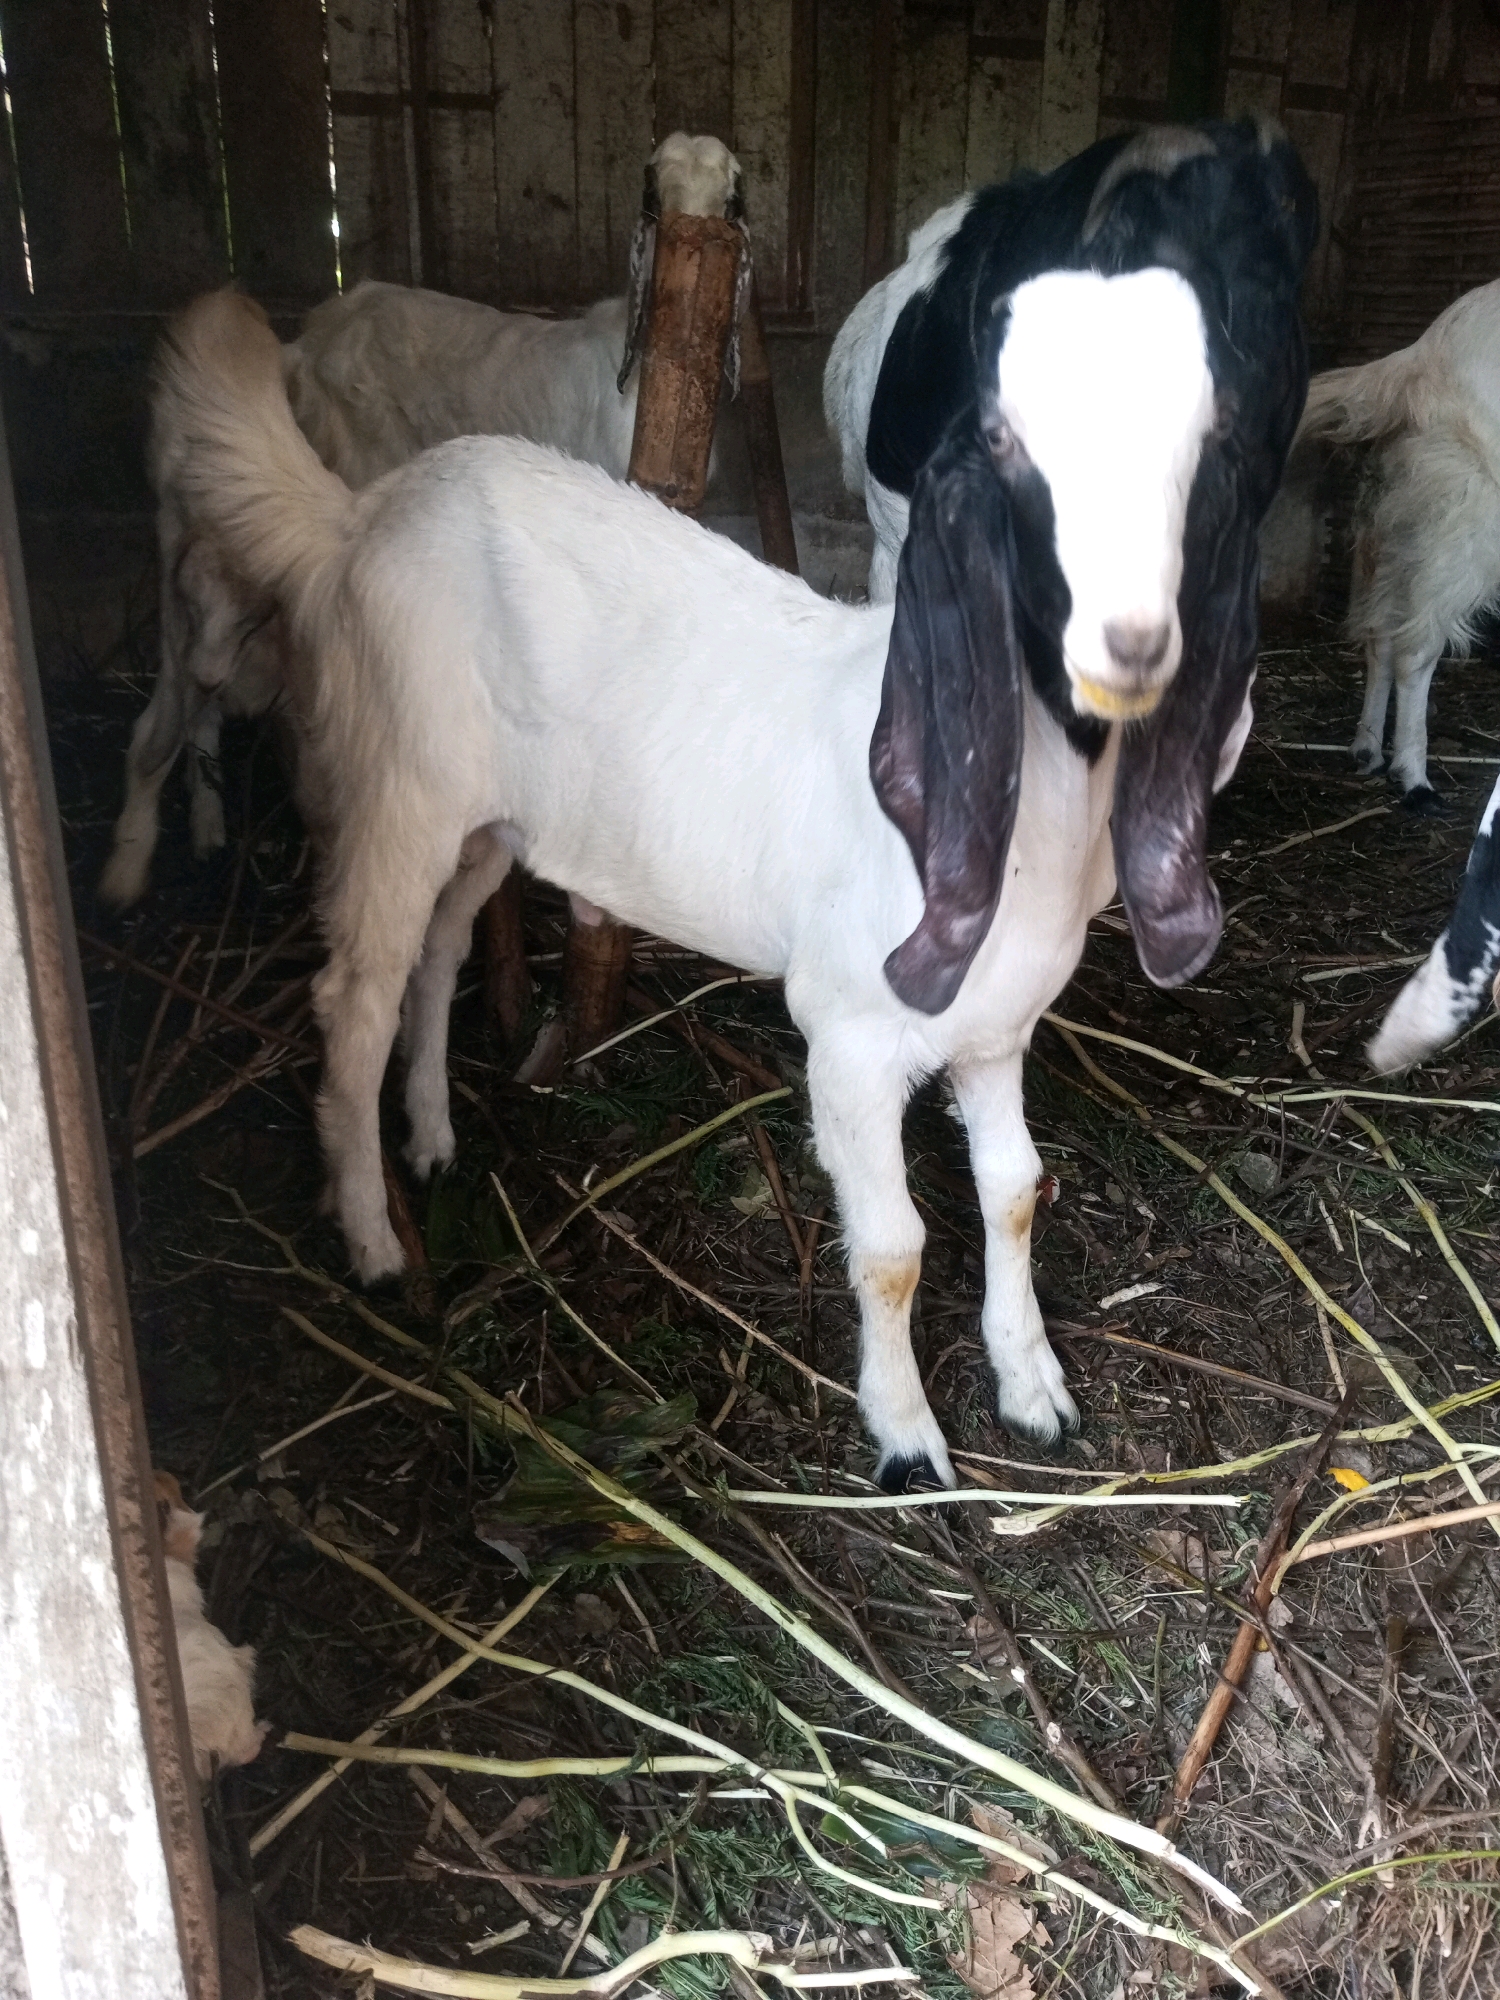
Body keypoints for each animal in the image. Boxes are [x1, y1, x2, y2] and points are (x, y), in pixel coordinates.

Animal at [98, 130, 743, 908]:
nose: (695, 241)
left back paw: (203, 825)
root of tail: (302, 348)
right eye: (655, 191)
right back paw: (135, 863)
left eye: (729, 192)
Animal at [159, 268, 1252, 1489]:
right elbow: (894, 1245)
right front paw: (904, 1435)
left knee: (435, 952)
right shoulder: (848, 1029)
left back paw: (434, 1137)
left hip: (488, 813)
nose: (1129, 646)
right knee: (352, 995)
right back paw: (371, 1234)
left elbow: (1015, 1192)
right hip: (399, 778)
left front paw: (1032, 1387)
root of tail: (361, 517)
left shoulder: (996, 1030)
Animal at [1293, 279, 1500, 811]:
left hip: (1393, 525)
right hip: (1466, 517)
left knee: (1380, 633)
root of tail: (1416, 360)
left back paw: (1367, 748)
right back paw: (1414, 778)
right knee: (1414, 646)